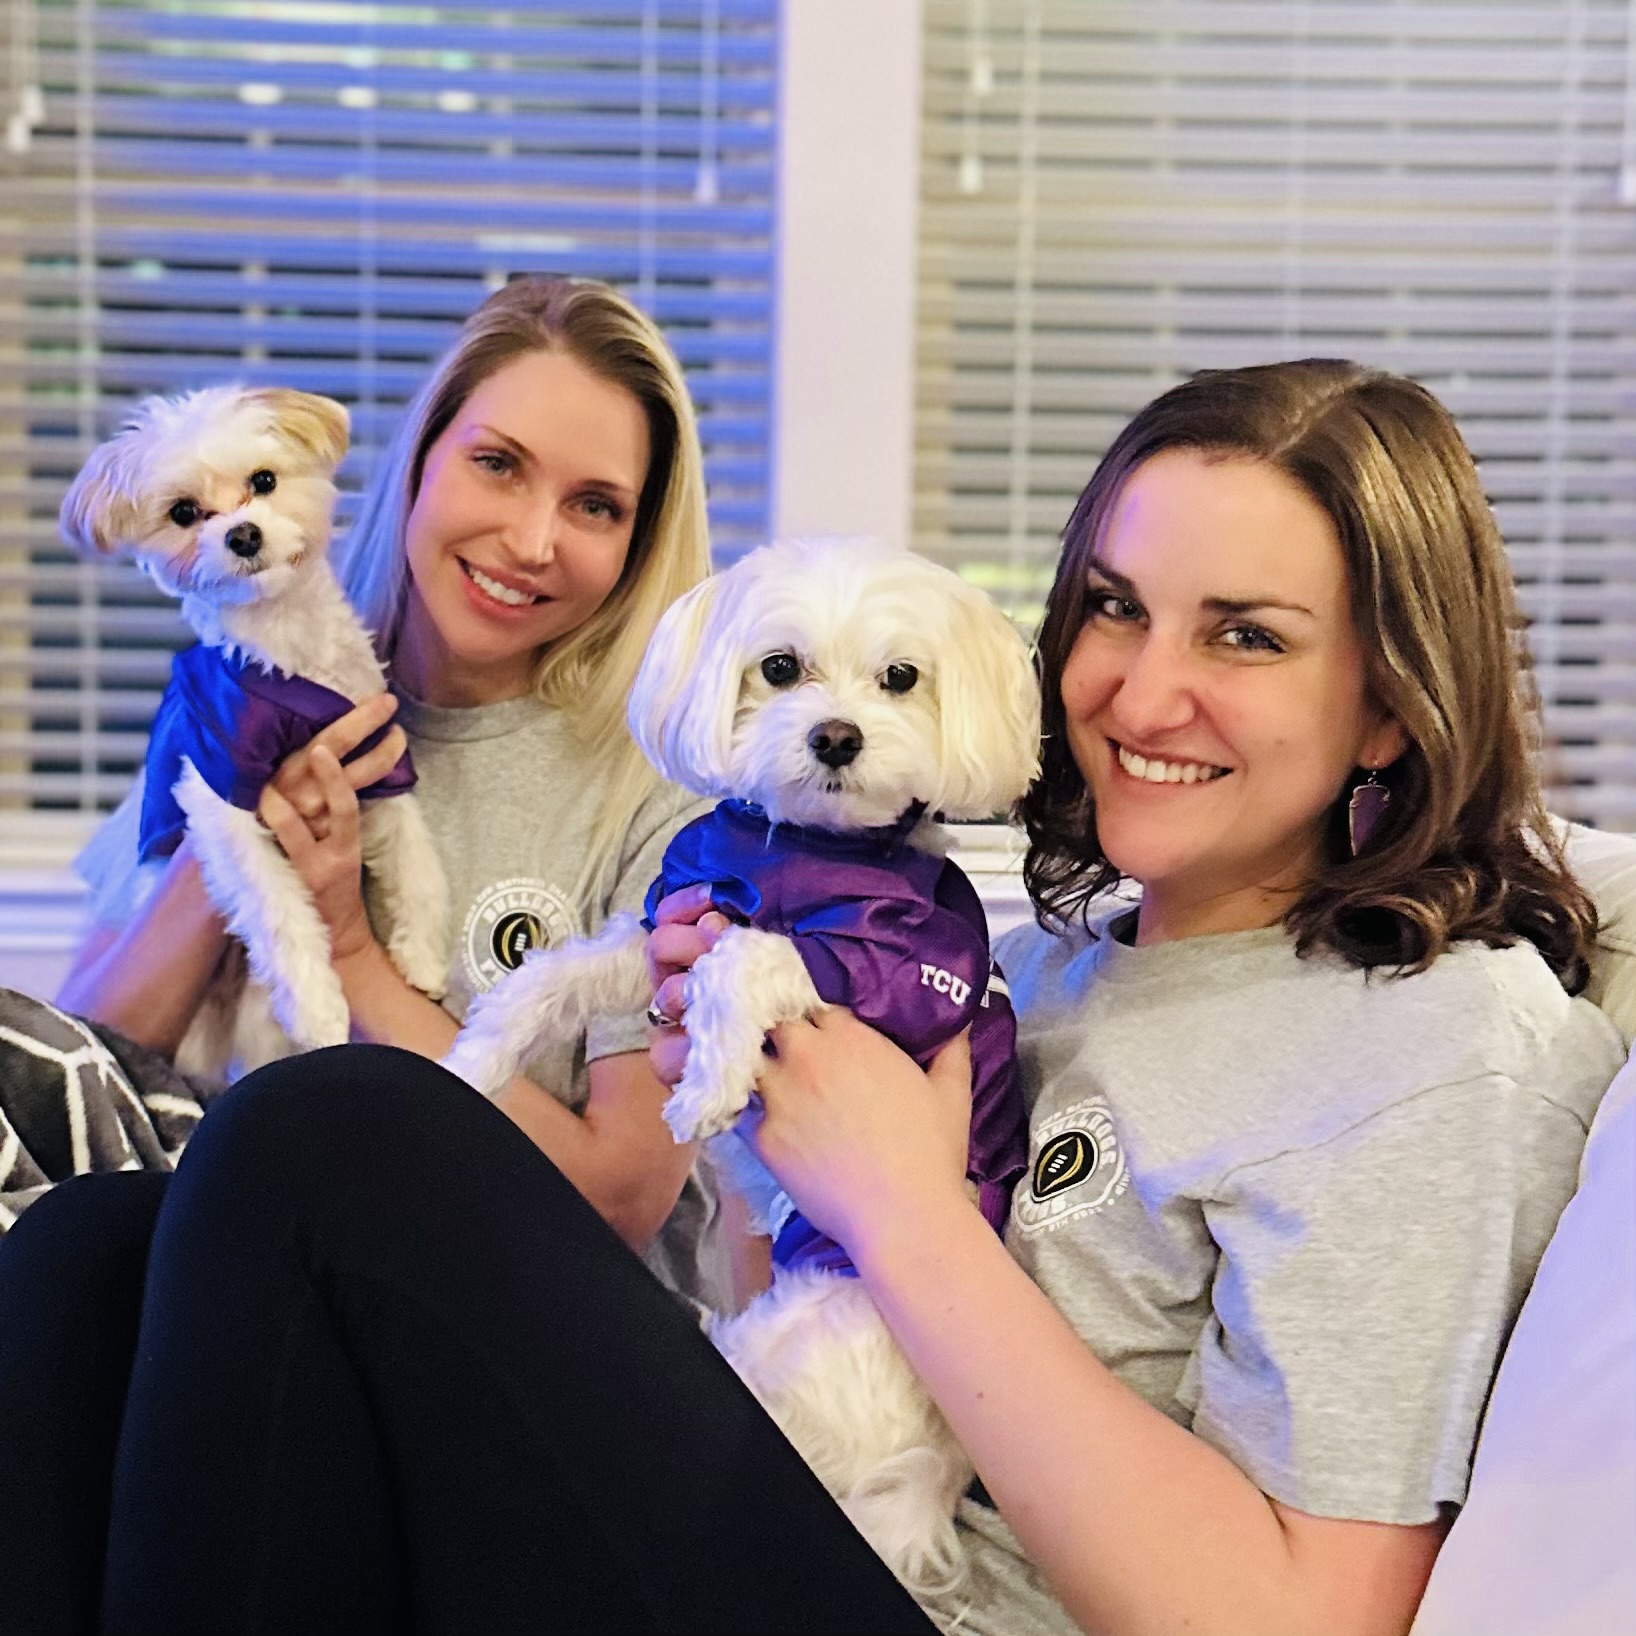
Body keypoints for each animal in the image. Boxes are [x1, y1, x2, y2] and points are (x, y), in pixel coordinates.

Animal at [62, 382, 448, 1073]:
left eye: (264, 480)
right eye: (184, 512)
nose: (242, 534)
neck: (286, 642)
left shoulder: (375, 751)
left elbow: (416, 855)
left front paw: (423, 955)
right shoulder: (222, 782)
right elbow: (278, 908)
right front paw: (319, 1007)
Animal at [441, 539, 1040, 1596]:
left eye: (901, 677)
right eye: (779, 667)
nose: (837, 738)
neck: (800, 849)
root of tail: (930, 1480)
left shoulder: (893, 973)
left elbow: (748, 956)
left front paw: (709, 1087)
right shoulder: (669, 925)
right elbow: (555, 977)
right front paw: (475, 1061)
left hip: (795, 1369)